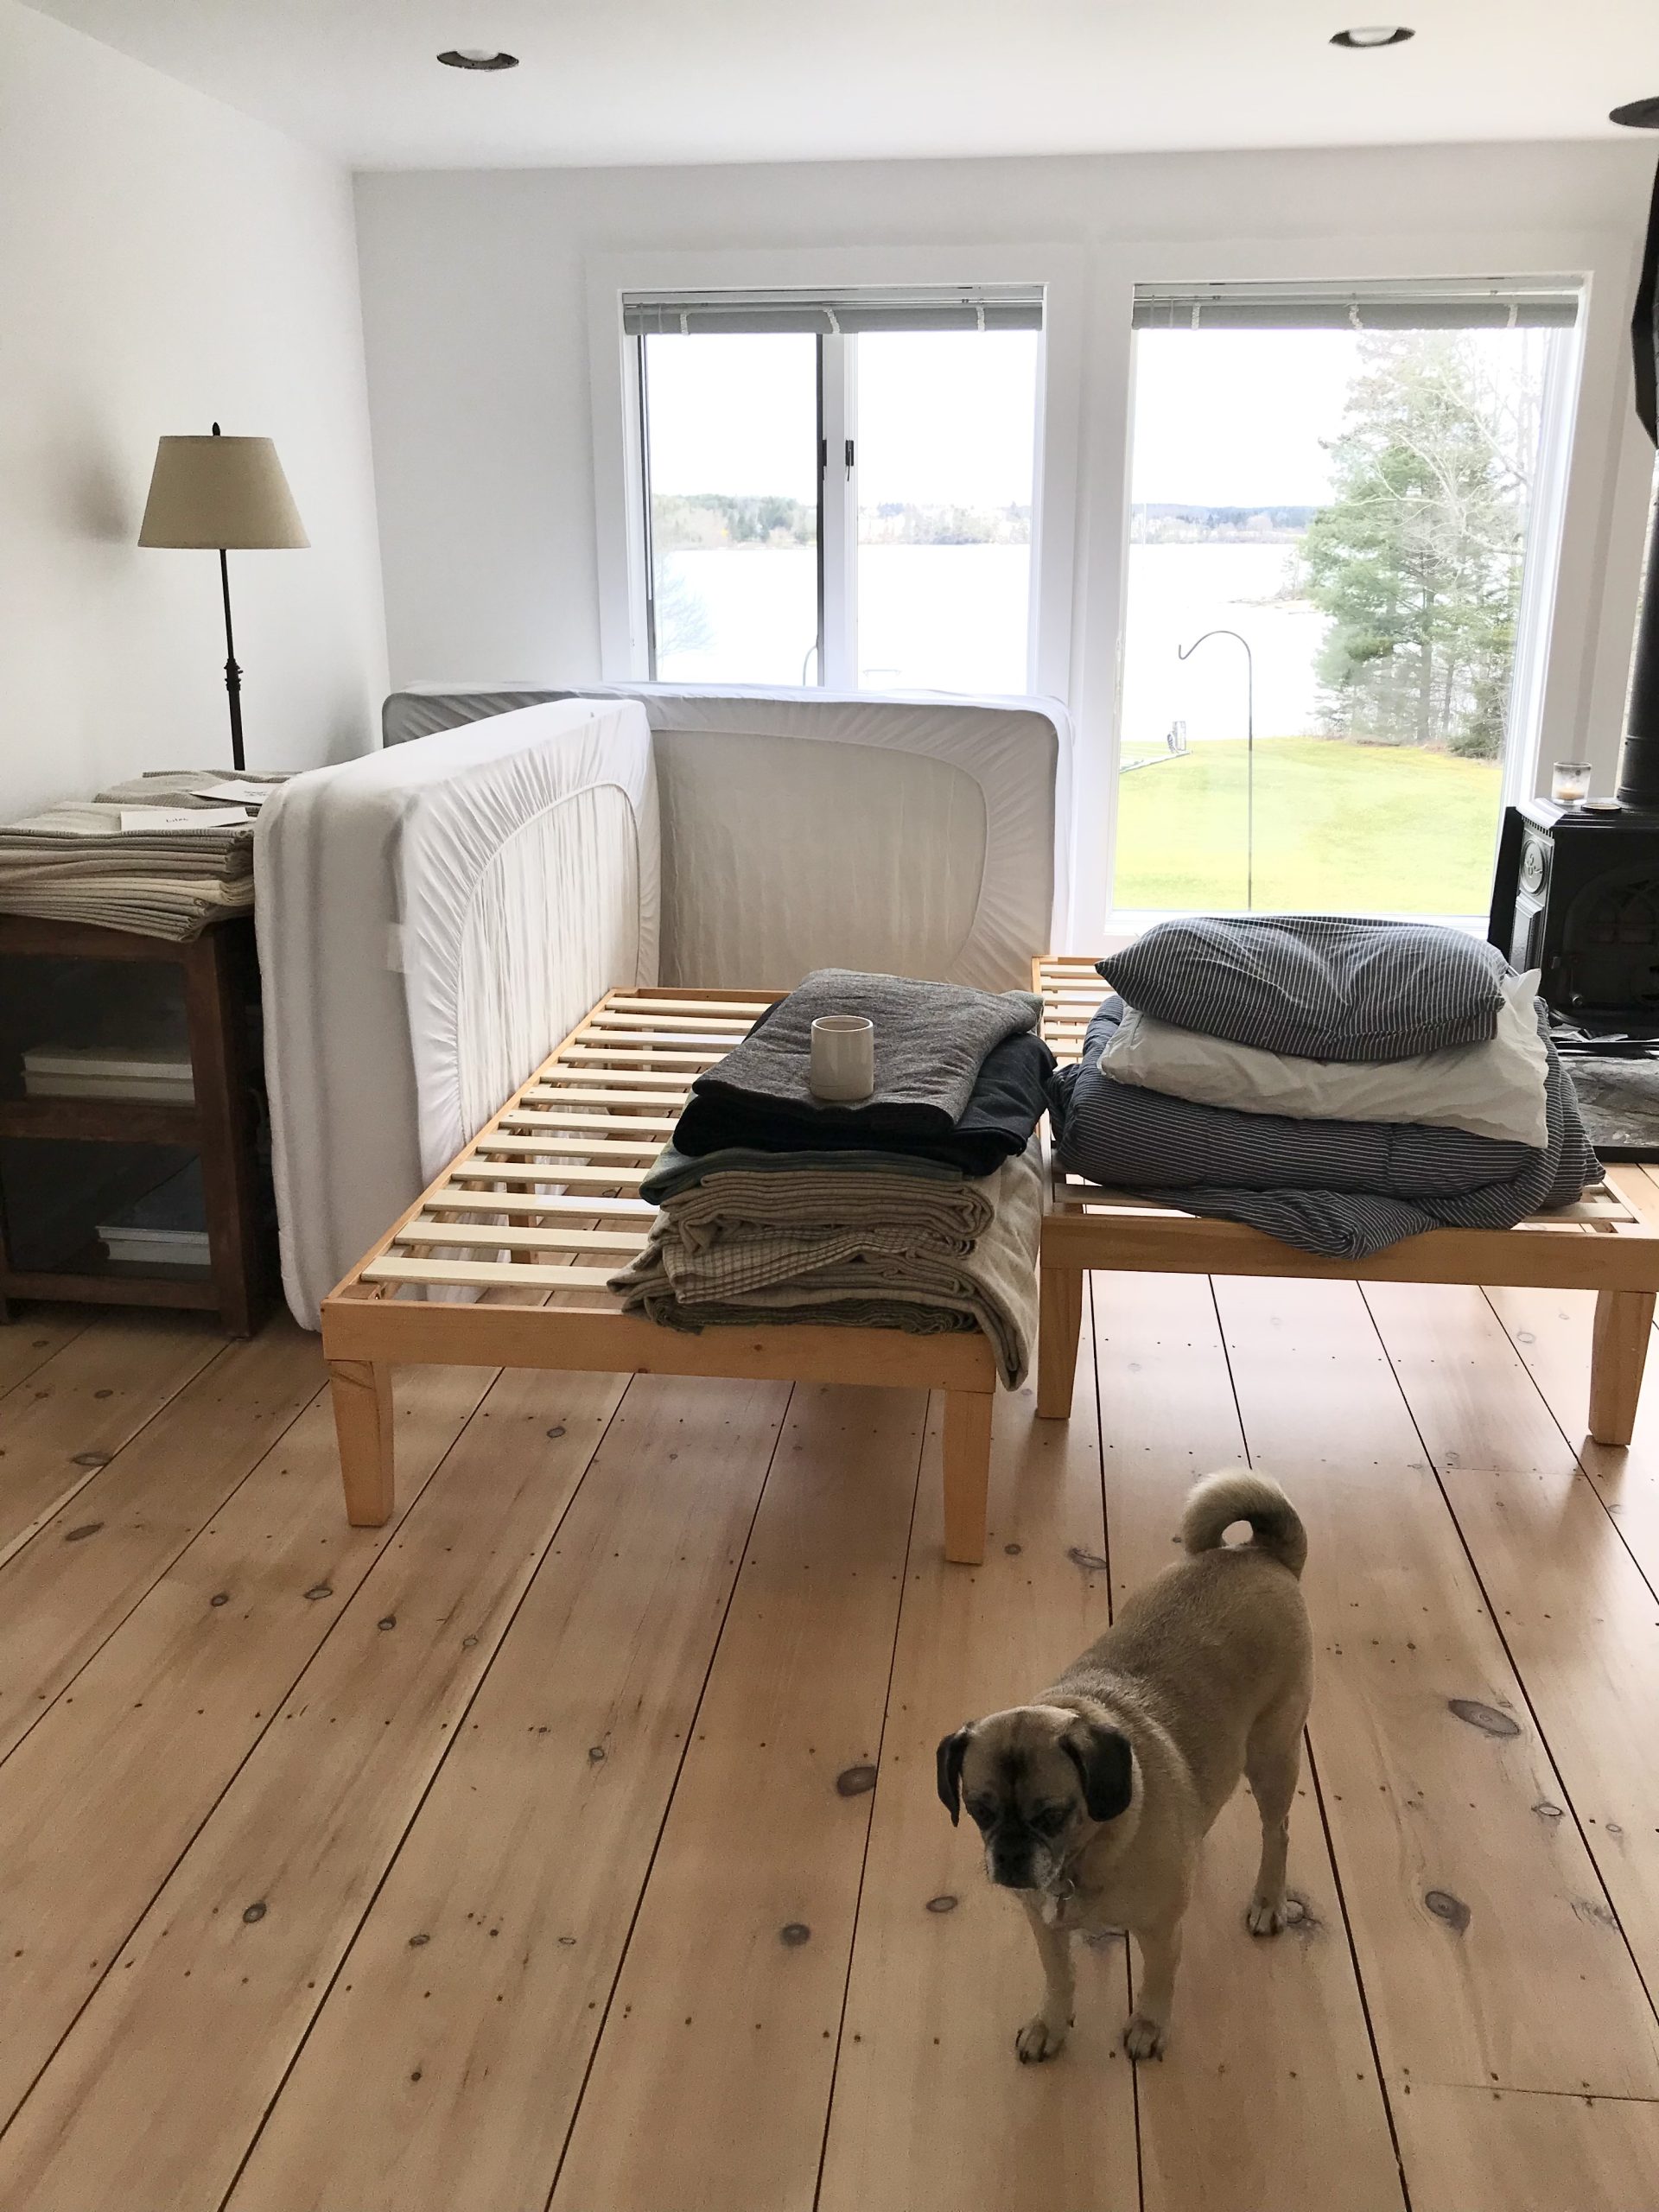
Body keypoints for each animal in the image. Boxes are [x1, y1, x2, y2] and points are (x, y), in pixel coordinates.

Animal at [936, 1469, 1310, 2065]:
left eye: (1052, 1816)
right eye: (979, 1811)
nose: (1011, 1856)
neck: (1083, 1857)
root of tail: (1261, 1553)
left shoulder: (1158, 1932)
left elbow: (1158, 1982)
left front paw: (1149, 2026)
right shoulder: (1046, 1929)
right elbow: (1060, 1979)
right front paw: (1051, 2025)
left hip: (1273, 1754)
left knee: (1277, 1831)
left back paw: (1269, 1901)